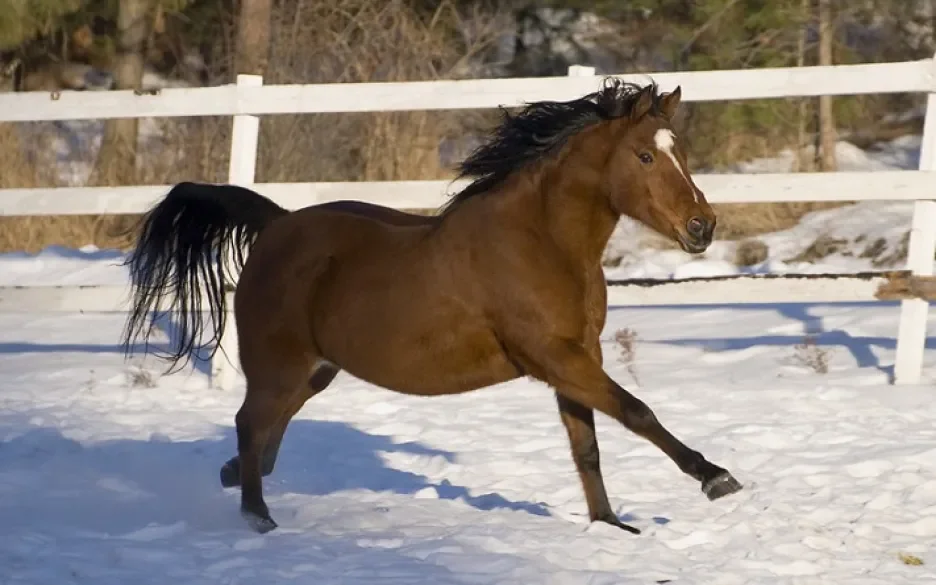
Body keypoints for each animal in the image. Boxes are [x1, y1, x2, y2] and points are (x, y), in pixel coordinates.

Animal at [122, 77, 740, 532]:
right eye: (644, 156)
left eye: (681, 153)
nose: (702, 227)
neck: (541, 242)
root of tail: (277, 223)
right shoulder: (554, 356)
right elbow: (637, 412)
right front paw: (716, 479)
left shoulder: (576, 358)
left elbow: (587, 446)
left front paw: (610, 525)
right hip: (280, 365)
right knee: (251, 425)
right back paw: (258, 516)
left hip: (314, 371)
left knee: (264, 436)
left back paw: (233, 479)